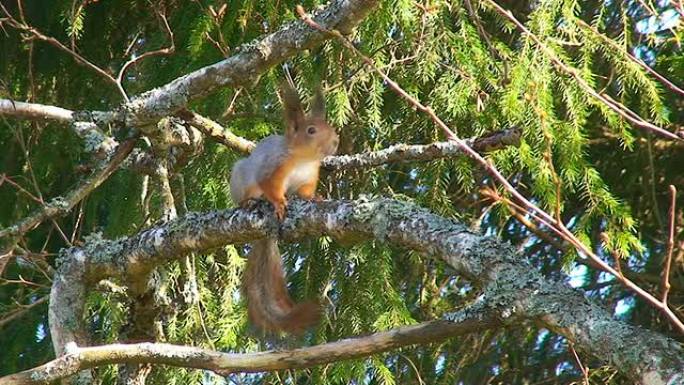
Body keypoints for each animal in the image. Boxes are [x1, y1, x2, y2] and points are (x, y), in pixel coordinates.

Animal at [228, 80, 338, 330]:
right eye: (311, 130)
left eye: (330, 126)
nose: (337, 141)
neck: (304, 159)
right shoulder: (273, 169)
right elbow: (270, 187)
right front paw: (278, 204)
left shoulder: (309, 177)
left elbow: (306, 192)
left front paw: (314, 198)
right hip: (240, 176)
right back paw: (249, 201)